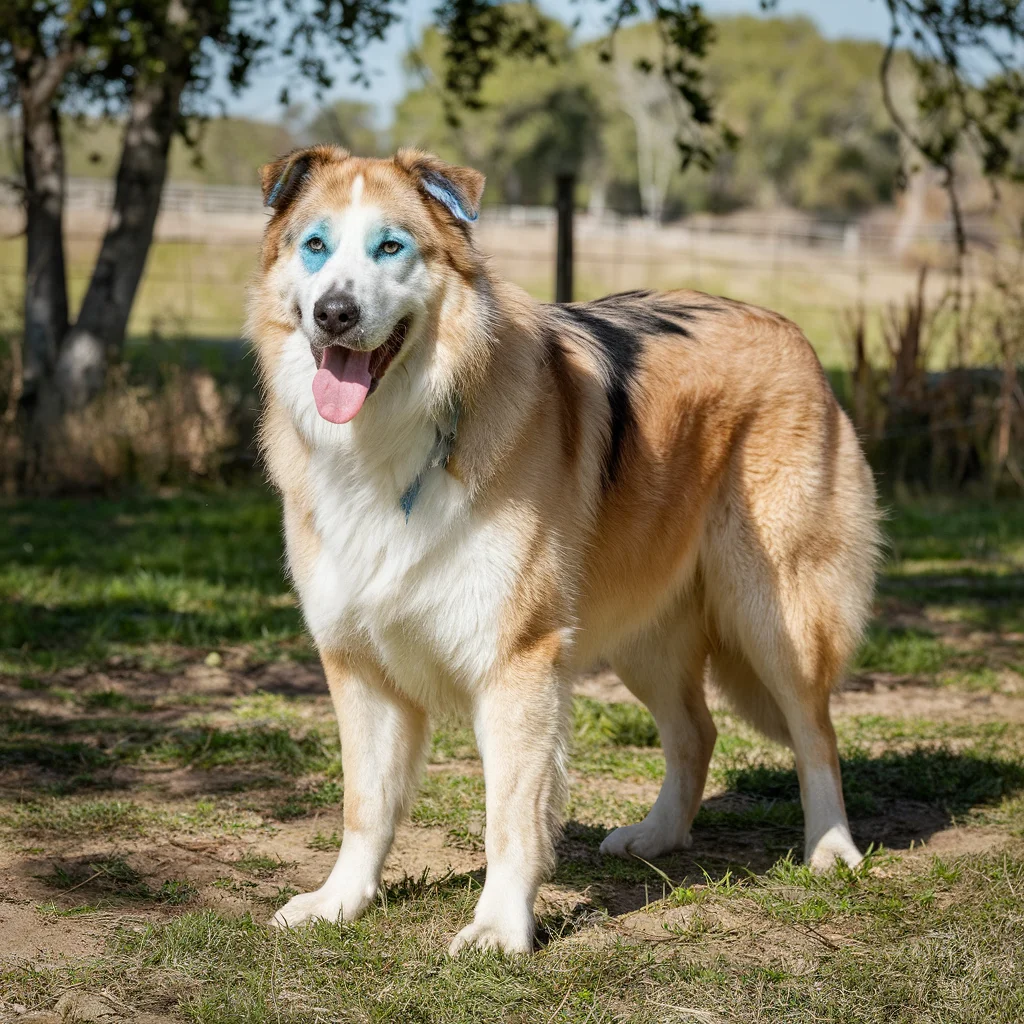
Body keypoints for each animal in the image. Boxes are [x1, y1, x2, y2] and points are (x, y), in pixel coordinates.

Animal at [245, 148, 880, 954]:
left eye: (391, 247)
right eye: (315, 247)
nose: (334, 313)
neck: (395, 436)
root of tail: (786, 329)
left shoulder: (517, 662)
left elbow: (510, 819)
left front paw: (499, 927)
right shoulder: (358, 663)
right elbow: (366, 805)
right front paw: (340, 901)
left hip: (776, 617)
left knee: (816, 733)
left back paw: (831, 848)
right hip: (645, 633)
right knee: (696, 732)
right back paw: (658, 836)